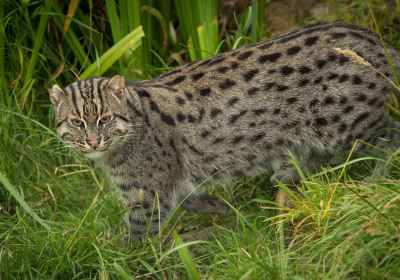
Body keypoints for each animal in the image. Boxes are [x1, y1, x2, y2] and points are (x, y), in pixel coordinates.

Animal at [48, 23, 398, 240]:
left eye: (105, 119)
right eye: (77, 123)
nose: (93, 141)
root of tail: (375, 41)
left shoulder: (147, 197)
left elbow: (137, 237)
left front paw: (122, 260)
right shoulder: (166, 183)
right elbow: (190, 199)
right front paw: (219, 209)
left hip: (345, 123)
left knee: (391, 135)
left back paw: (376, 180)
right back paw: (288, 174)